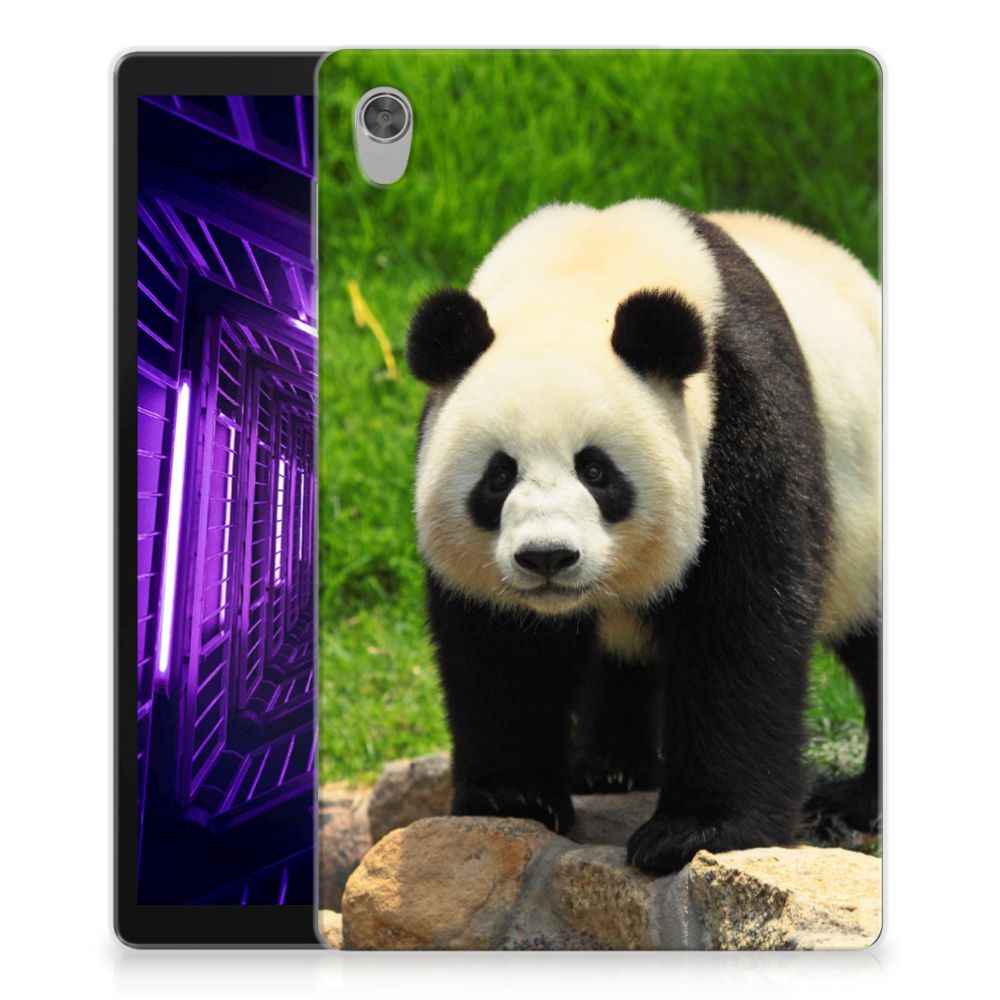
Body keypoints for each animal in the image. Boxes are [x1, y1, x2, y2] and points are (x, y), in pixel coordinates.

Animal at [405, 199, 880, 875]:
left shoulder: (742, 417)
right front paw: (512, 797)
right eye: (499, 475)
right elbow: (502, 646)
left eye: (596, 470)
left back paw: (859, 802)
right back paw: (609, 766)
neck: (582, 272)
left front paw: (697, 831)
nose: (547, 557)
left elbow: (738, 623)